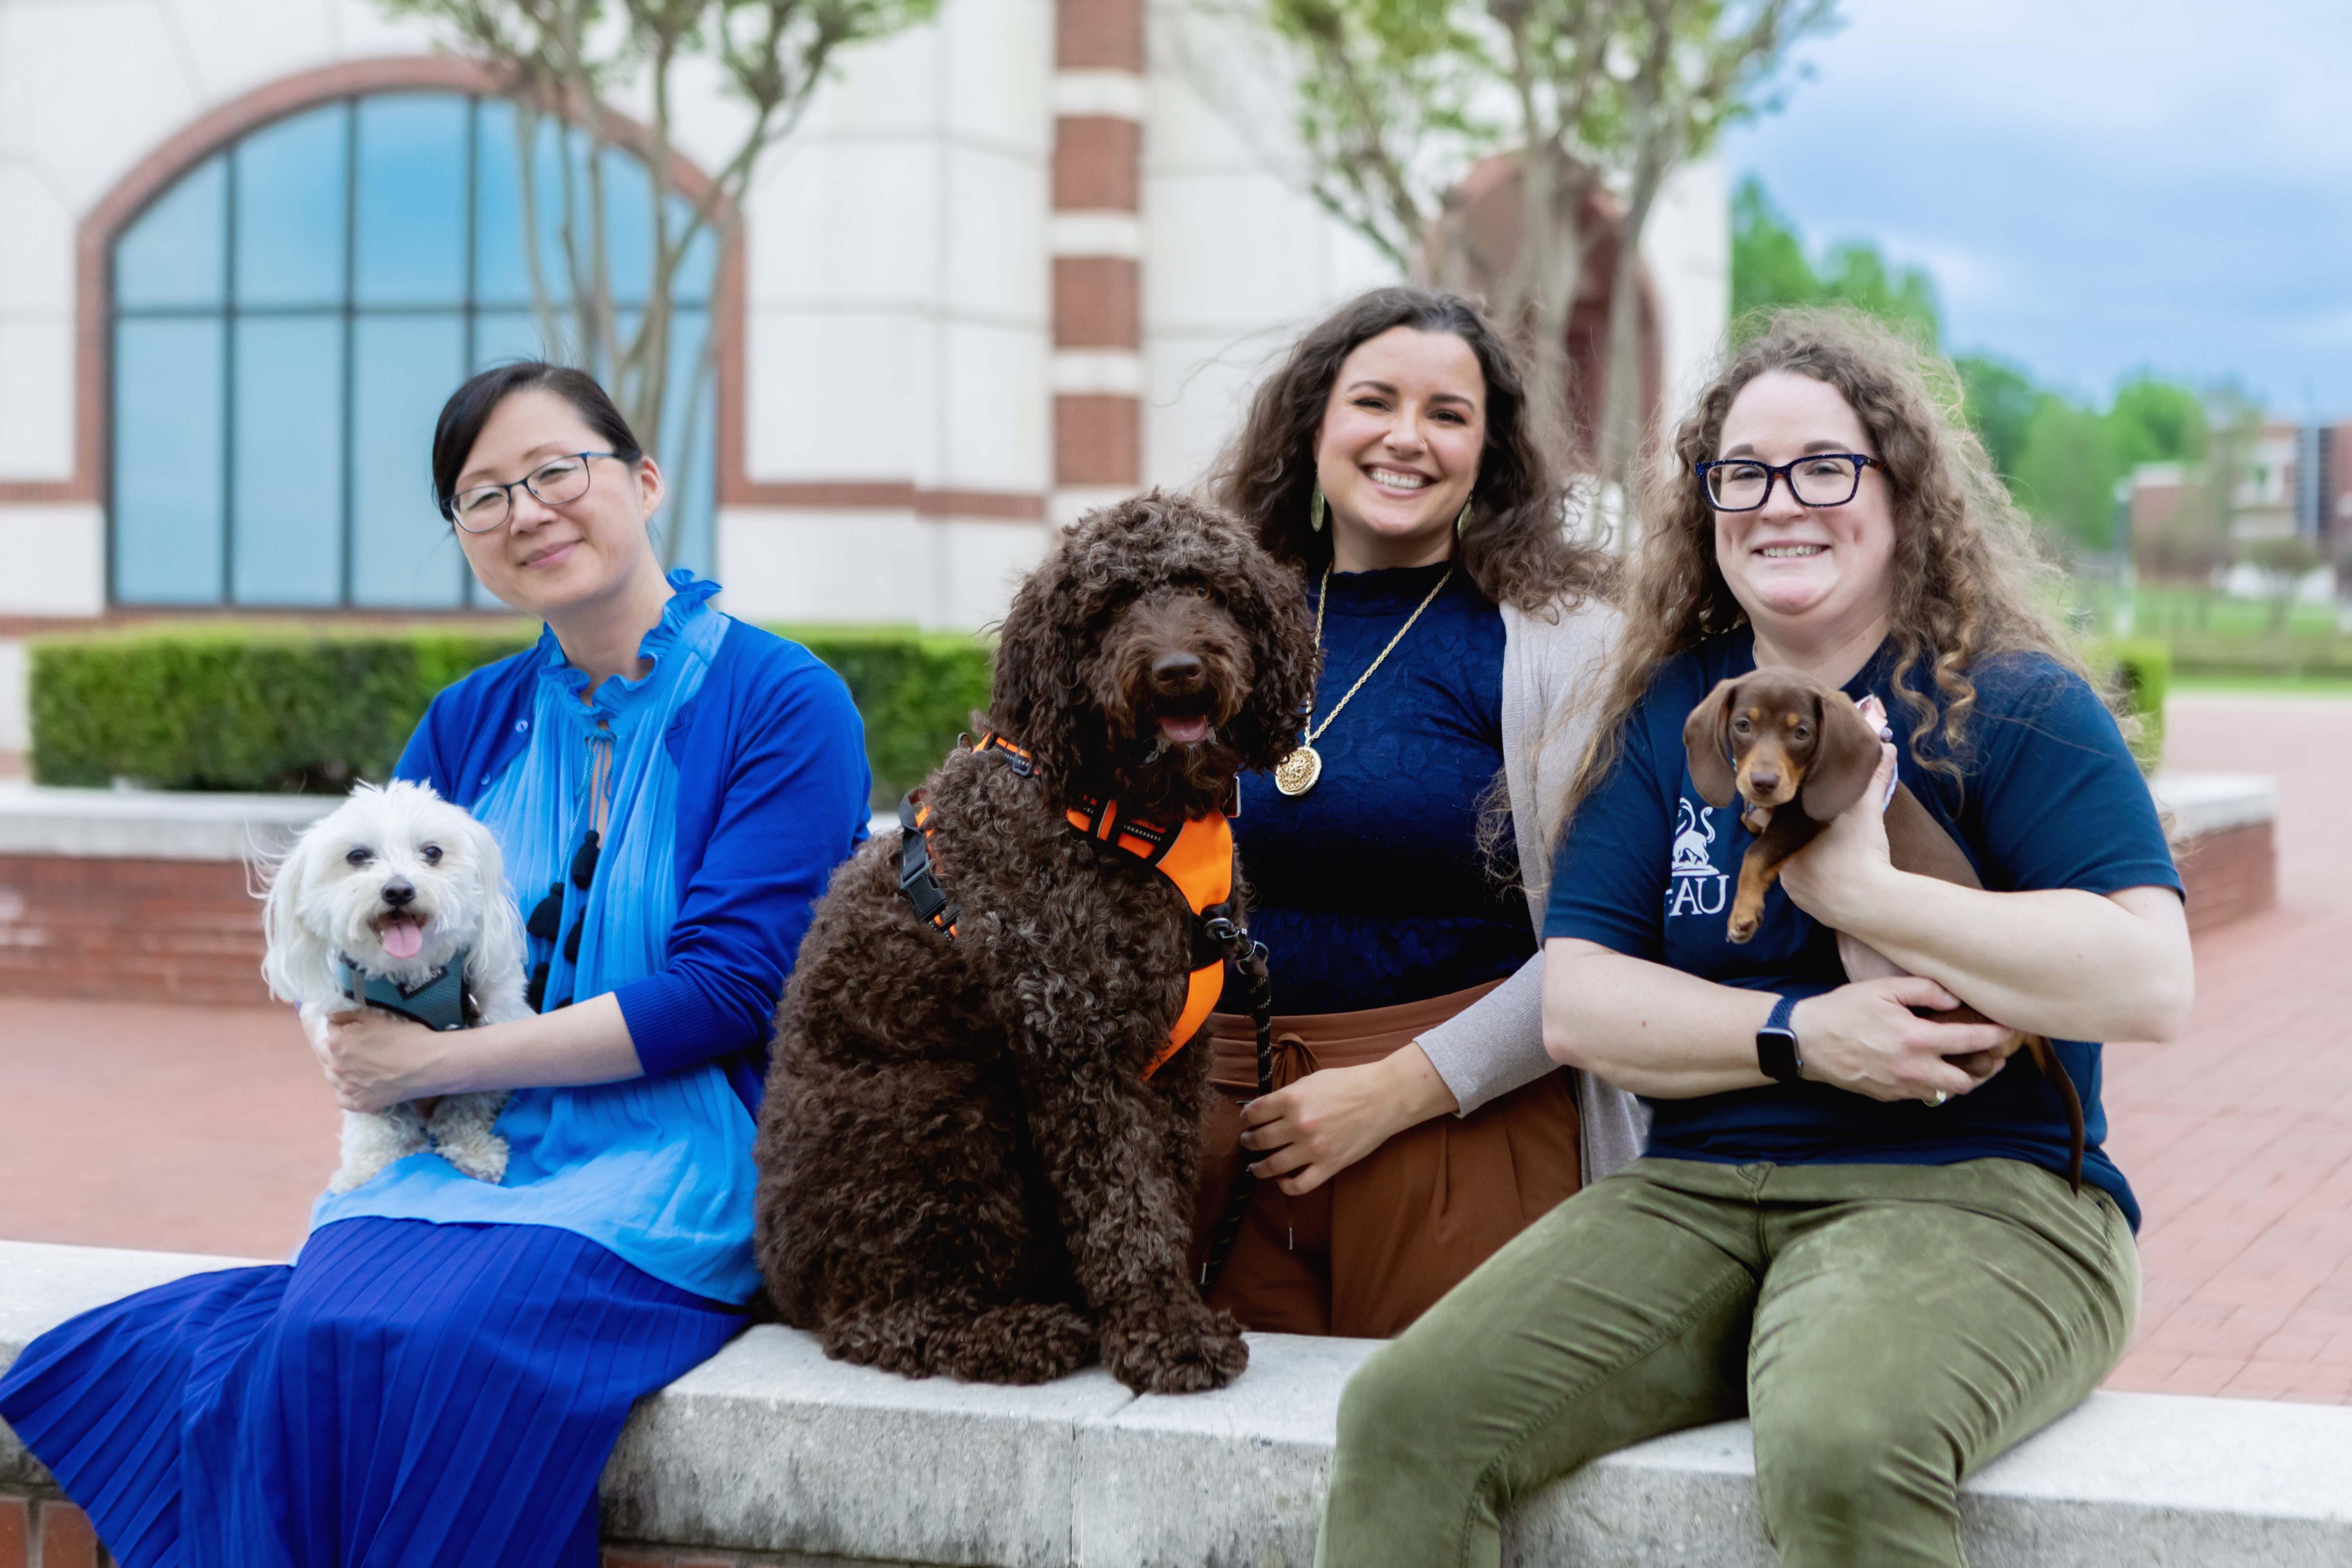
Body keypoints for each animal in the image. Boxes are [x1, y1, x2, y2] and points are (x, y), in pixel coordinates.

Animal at [264, 780, 531, 1194]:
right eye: (358, 856)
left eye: (433, 852)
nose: (399, 891)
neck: (415, 979)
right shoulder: (354, 1056)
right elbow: (378, 1120)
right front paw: (370, 1168)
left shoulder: (491, 1022)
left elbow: (470, 1095)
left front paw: (472, 1149)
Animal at [767, 496, 1336, 1392]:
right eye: (1110, 604)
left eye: (1207, 588)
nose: (1178, 669)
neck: (1125, 811)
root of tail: (783, 1280)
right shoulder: (1078, 1047)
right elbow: (1123, 1200)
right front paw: (1165, 1333)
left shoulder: (1172, 1064)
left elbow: (1161, 1187)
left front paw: (1159, 1310)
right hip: (940, 1118)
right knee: (886, 1317)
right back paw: (1017, 1332)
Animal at [1684, 663, 2088, 1189]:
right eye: (1742, 726)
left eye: (1801, 733)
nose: (1763, 782)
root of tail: (2025, 1026)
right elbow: (1757, 830)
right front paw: (1752, 819)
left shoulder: (1811, 814)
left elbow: (1758, 851)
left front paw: (1743, 914)